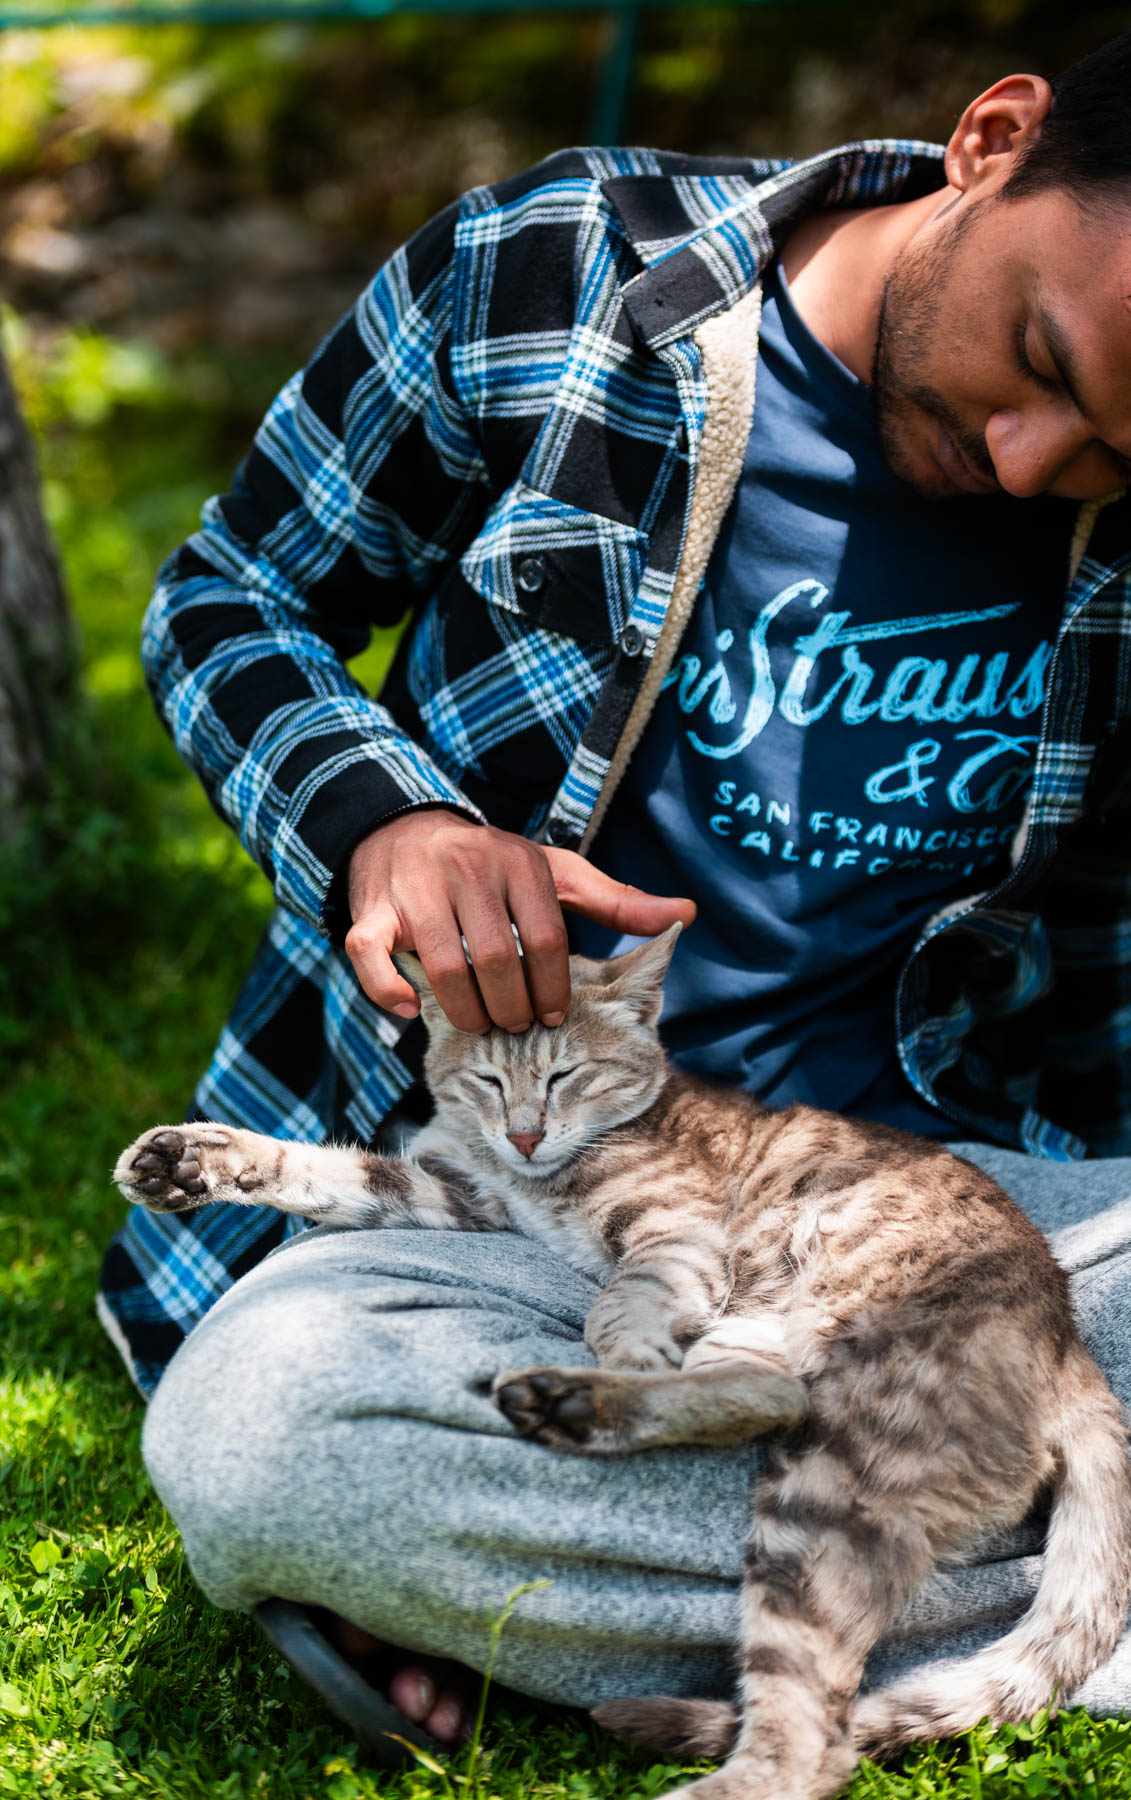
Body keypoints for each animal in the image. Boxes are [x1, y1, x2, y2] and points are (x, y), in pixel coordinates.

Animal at [114, 928, 1131, 1800]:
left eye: (568, 1075)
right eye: (487, 1080)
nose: (525, 1134)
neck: (532, 1178)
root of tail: (1065, 1348)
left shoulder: (675, 1228)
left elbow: (625, 1301)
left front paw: (630, 1349)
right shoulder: (455, 1192)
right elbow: (329, 1171)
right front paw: (189, 1161)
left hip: (840, 1469)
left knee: (812, 1743)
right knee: (766, 1396)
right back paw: (569, 1403)